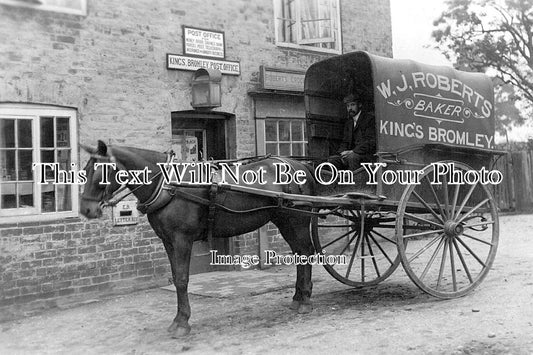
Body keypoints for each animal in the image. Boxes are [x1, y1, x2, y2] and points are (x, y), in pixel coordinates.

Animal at [80, 140, 316, 338]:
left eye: (101, 171)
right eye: (85, 170)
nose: (86, 209)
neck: (167, 185)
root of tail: (300, 166)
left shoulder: (182, 239)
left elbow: (183, 279)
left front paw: (182, 322)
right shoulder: (168, 241)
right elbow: (176, 277)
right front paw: (178, 319)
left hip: (297, 220)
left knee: (305, 253)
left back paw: (304, 299)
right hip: (285, 221)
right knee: (300, 254)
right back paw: (298, 297)